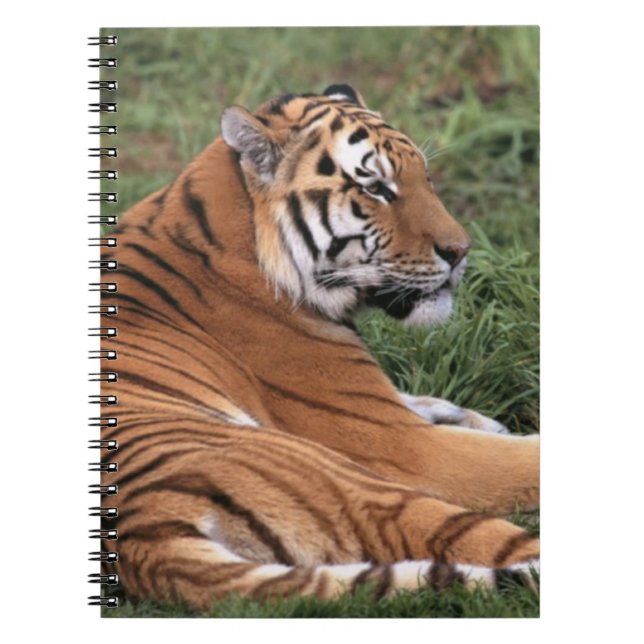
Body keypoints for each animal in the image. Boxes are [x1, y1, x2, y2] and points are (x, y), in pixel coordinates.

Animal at [99, 84, 539, 612]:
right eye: (377, 189)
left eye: (425, 177)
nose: (462, 252)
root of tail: (142, 534)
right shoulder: (405, 445)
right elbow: (522, 459)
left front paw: (474, 417)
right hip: (346, 479)